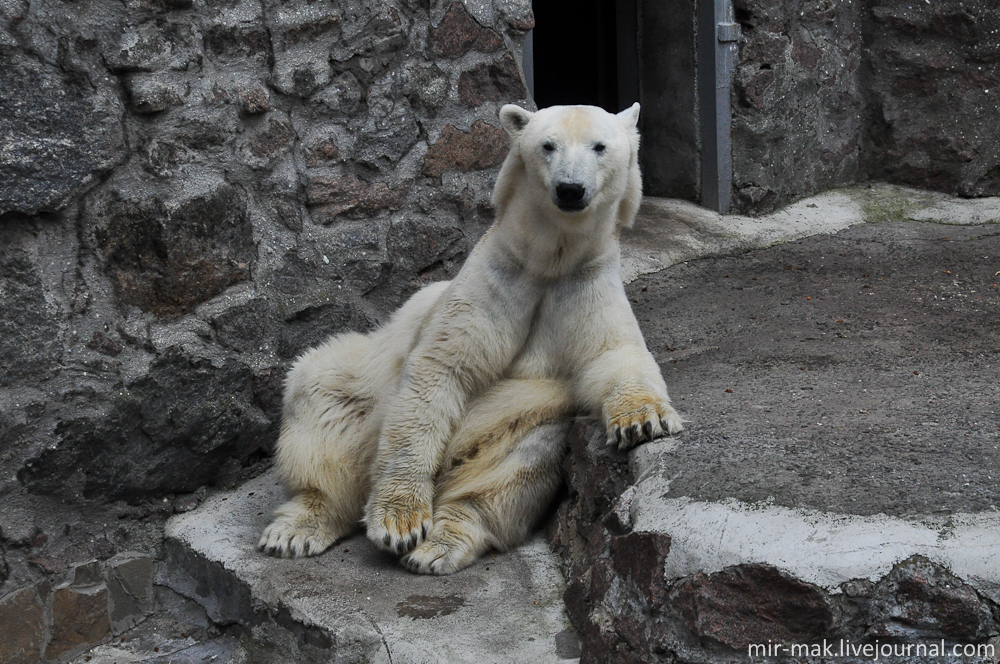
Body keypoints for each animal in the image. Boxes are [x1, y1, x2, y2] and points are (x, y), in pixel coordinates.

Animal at [254, 101, 684, 572]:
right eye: (547, 146)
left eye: (599, 146)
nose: (570, 189)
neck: (549, 260)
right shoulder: (496, 278)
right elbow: (439, 371)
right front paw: (400, 521)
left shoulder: (585, 281)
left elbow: (614, 355)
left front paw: (643, 421)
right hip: (359, 386)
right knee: (321, 397)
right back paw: (297, 528)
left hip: (509, 431)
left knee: (518, 460)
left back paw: (439, 545)